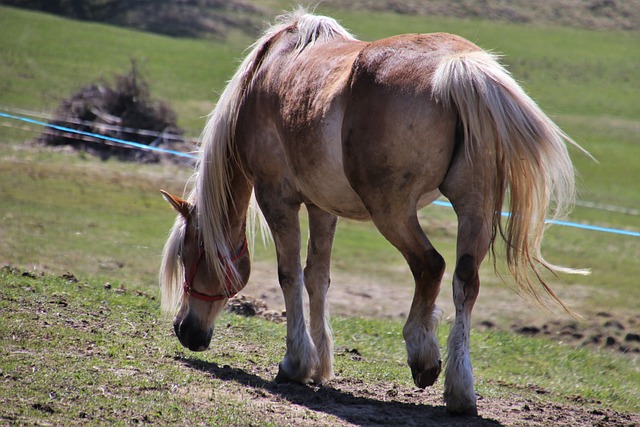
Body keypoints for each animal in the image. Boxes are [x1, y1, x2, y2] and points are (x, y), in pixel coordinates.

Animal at [158, 9, 588, 418]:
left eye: (189, 255)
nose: (184, 329)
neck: (264, 77)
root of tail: (458, 67)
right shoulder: (321, 206)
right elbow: (317, 278)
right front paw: (320, 366)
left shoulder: (277, 198)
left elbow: (289, 275)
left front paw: (295, 363)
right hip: (473, 207)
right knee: (465, 281)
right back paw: (460, 390)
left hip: (392, 211)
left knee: (430, 266)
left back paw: (423, 356)